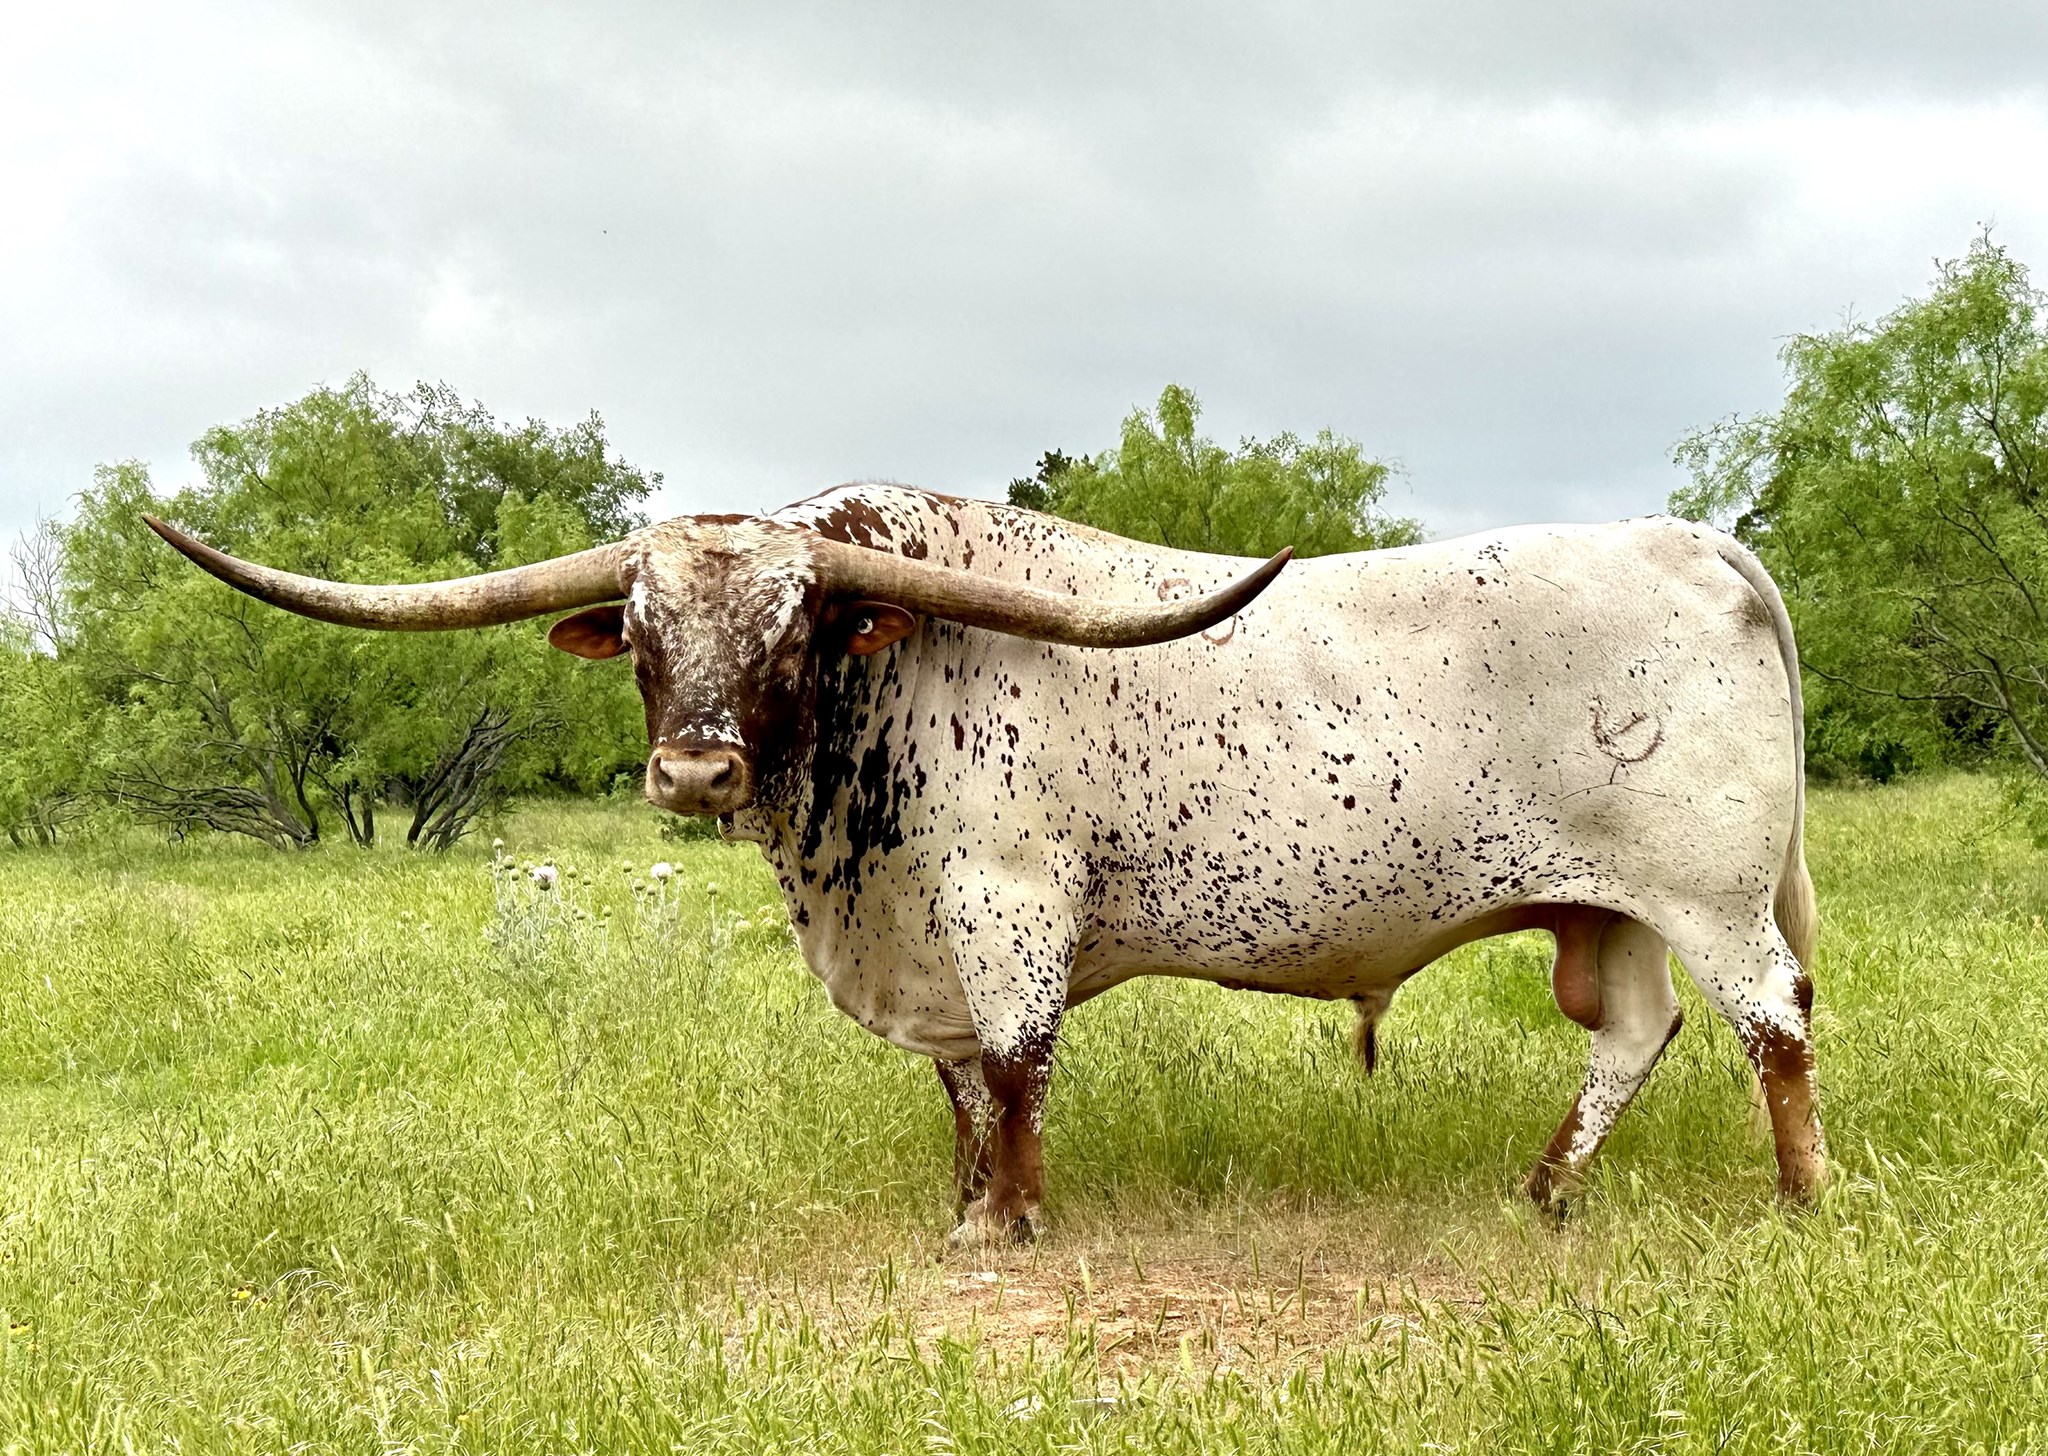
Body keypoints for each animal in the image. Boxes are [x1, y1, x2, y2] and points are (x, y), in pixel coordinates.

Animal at [146, 483, 1825, 1242]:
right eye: (636, 627)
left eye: (797, 627)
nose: (695, 770)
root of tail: (1695, 540)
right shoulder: (926, 949)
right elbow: (957, 1084)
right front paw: (963, 1199)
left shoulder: (1006, 910)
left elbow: (1015, 1068)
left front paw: (1007, 1224)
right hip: (1608, 906)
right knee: (1633, 1034)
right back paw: (1543, 1190)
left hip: (1713, 896)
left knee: (1775, 1023)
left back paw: (1801, 1201)